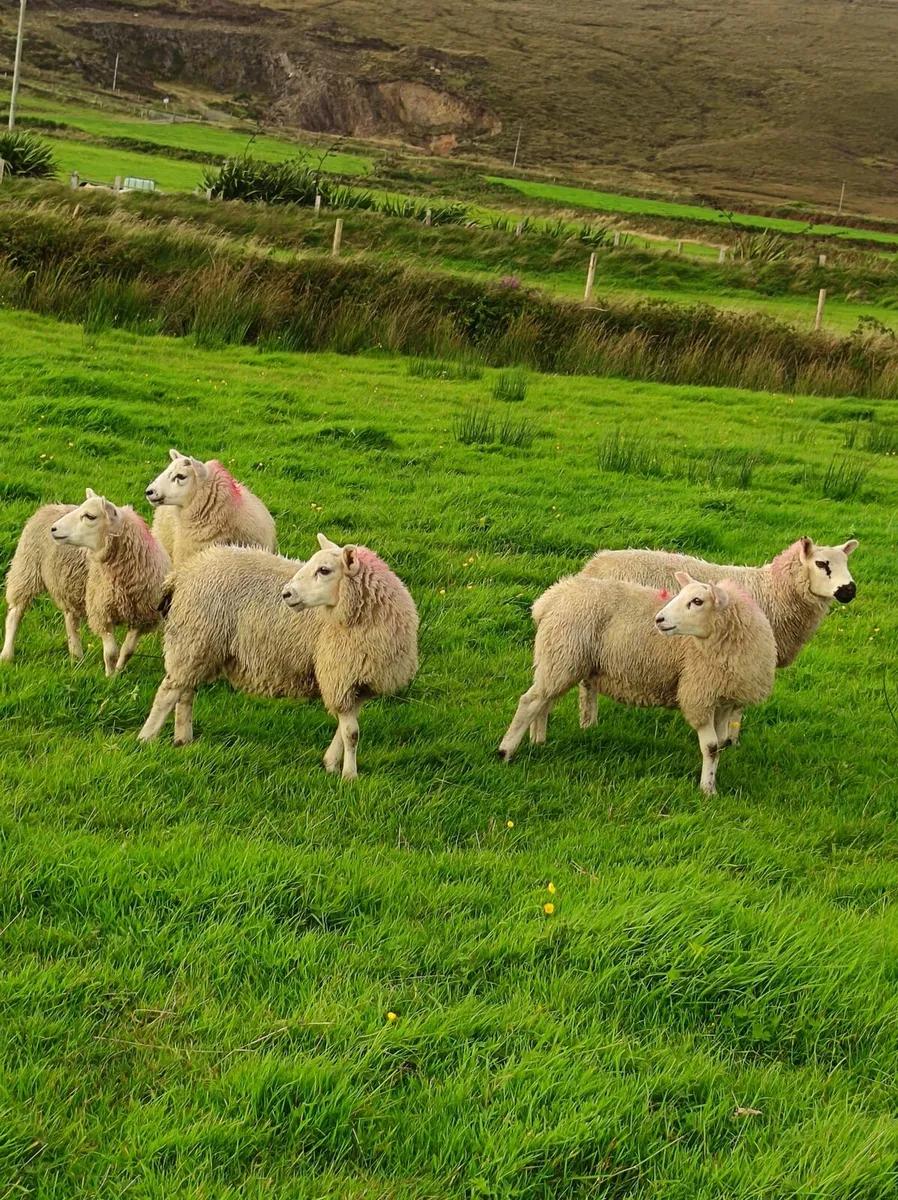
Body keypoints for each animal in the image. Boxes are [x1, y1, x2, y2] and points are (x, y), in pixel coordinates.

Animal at [1, 504, 89, 664]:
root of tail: (49, 506)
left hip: (68, 582)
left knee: (71, 619)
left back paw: (76, 656)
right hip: (26, 569)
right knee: (15, 612)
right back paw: (7, 655)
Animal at [50, 489, 172, 676]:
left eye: (90, 516)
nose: (53, 528)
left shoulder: (142, 617)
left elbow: (128, 650)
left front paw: (119, 671)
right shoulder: (102, 613)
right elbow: (111, 652)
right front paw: (109, 676)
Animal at [138, 533, 419, 779]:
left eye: (324, 570)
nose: (286, 594)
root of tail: (183, 572)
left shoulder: (358, 682)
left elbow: (344, 730)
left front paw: (330, 764)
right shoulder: (339, 674)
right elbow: (351, 733)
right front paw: (349, 777)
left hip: (200, 646)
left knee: (186, 692)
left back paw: (183, 740)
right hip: (195, 636)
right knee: (168, 693)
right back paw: (146, 738)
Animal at [499, 571, 776, 795]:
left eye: (697, 601)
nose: (659, 620)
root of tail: (551, 596)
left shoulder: (724, 700)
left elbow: (719, 746)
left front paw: (711, 783)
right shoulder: (699, 694)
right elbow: (710, 747)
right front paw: (707, 790)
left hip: (558, 658)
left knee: (543, 701)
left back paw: (538, 741)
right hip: (564, 653)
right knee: (530, 701)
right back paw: (505, 751)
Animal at [571, 537, 858, 742]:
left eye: (846, 563)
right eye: (821, 564)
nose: (850, 590)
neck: (773, 591)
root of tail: (593, 565)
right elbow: (737, 710)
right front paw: (732, 740)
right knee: (586, 686)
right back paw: (589, 724)